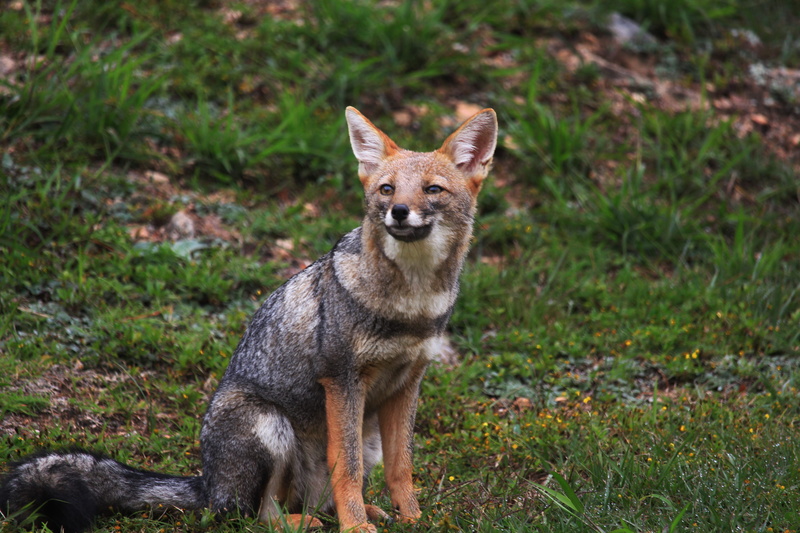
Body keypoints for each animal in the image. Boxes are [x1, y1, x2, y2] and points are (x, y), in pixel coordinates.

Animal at [0, 106, 498, 533]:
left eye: (432, 190)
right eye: (387, 189)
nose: (398, 212)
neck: (411, 304)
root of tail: (206, 483)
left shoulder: (406, 383)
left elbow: (402, 467)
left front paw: (413, 519)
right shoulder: (341, 379)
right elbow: (349, 469)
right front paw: (357, 526)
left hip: (361, 432)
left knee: (305, 500)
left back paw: (360, 512)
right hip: (270, 427)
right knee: (252, 514)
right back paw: (308, 521)